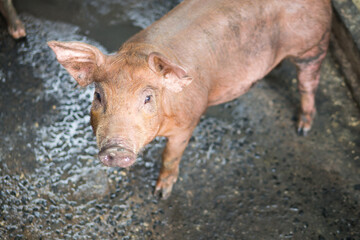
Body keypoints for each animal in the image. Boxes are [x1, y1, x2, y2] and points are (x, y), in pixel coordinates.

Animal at [47, 0, 332, 199]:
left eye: (148, 97)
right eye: (98, 95)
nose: (116, 149)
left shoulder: (189, 121)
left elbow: (170, 157)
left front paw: (160, 194)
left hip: (313, 46)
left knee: (308, 83)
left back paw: (303, 128)